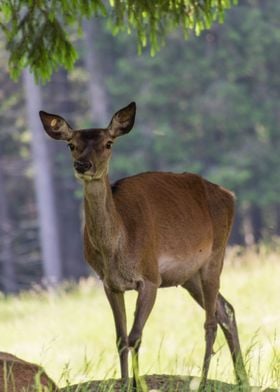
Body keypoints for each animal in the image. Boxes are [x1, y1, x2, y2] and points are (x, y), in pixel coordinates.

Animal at [38, 102, 248, 390]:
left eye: (108, 143)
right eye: (71, 144)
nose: (83, 165)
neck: (117, 248)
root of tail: (231, 195)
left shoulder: (150, 277)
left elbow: (135, 335)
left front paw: (139, 384)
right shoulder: (110, 284)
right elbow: (119, 338)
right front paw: (126, 382)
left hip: (216, 255)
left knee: (211, 321)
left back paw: (205, 380)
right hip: (189, 276)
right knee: (226, 310)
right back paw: (242, 379)